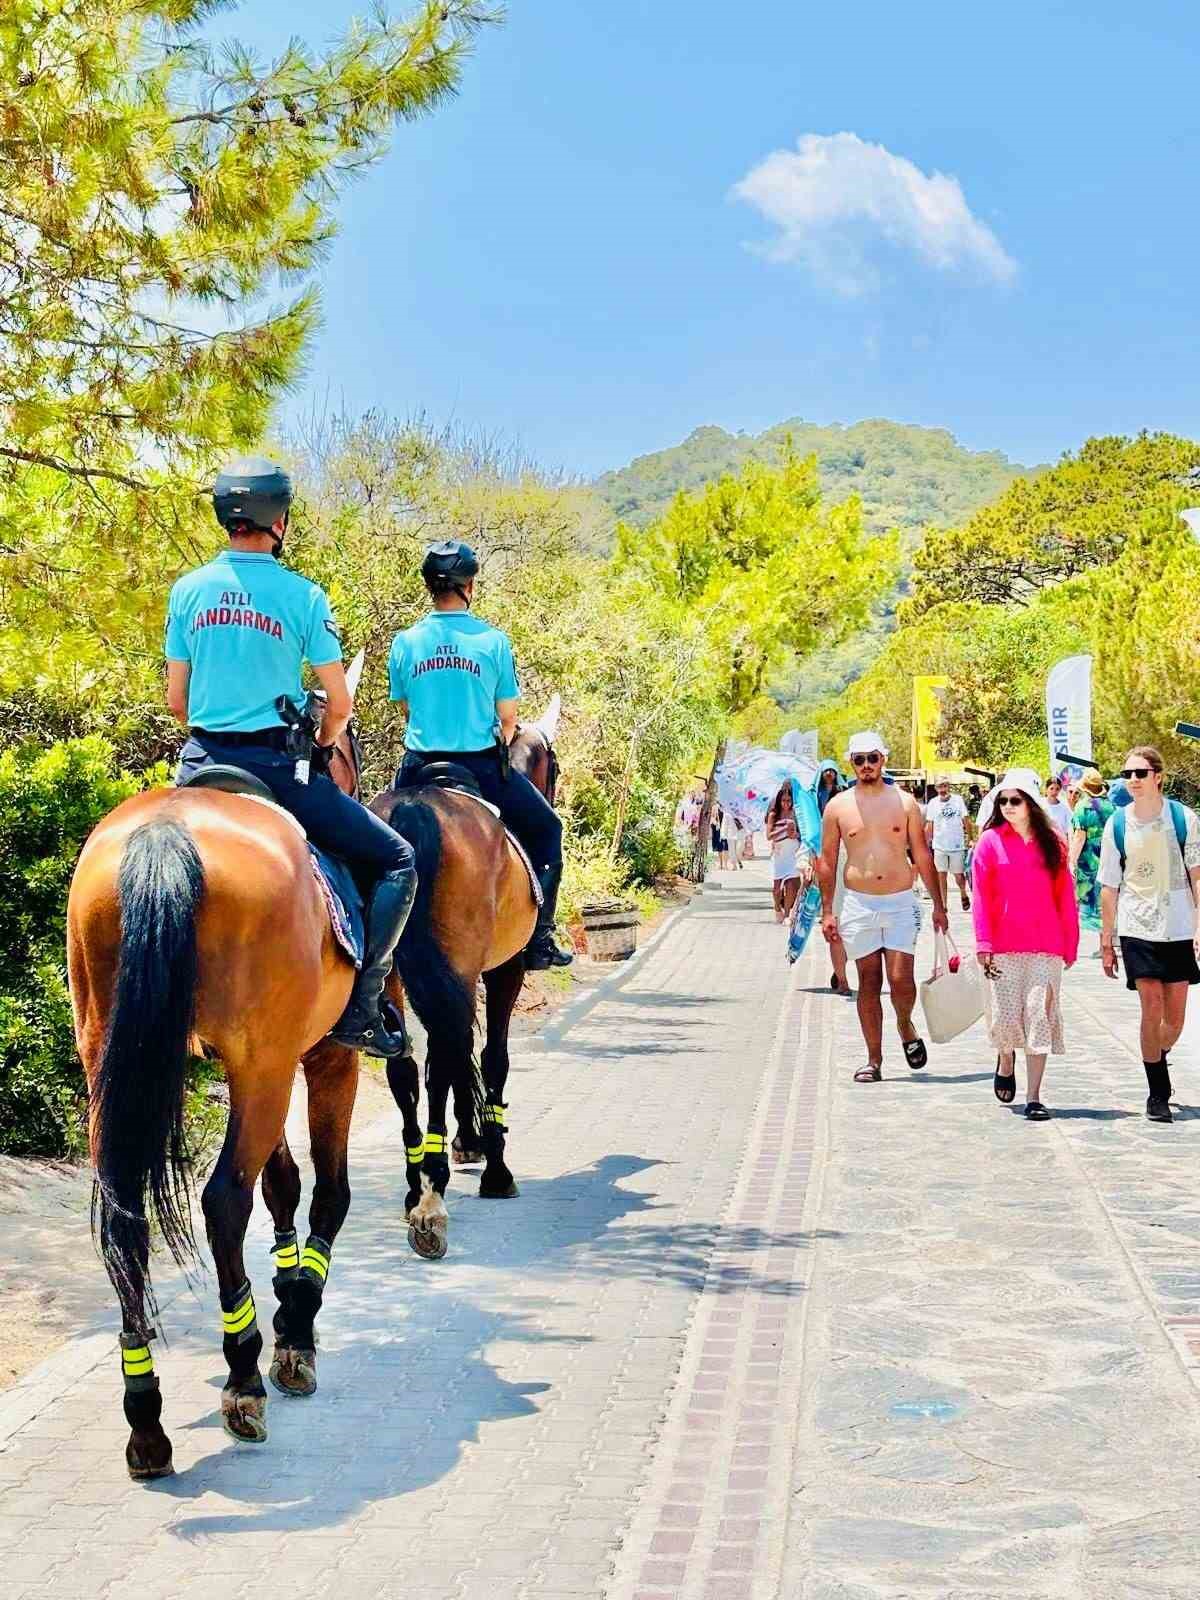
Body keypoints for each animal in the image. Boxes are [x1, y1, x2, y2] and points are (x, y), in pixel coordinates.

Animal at [65, 780, 364, 1478]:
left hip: (109, 1055)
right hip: (265, 1064)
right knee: (225, 1200)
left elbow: (283, 1181)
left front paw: (288, 1299)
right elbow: (326, 1193)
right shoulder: (325, 1055)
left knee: (123, 1217)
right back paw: (243, 1378)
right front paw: (296, 1329)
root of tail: (165, 832)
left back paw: (145, 1419)